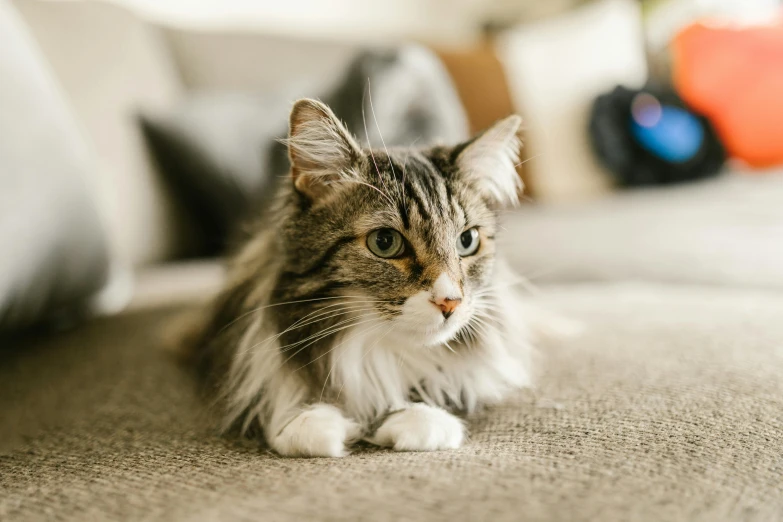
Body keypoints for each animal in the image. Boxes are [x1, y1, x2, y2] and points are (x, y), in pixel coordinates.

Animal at [191, 97, 532, 456]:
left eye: (467, 241)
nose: (450, 302)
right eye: (384, 242)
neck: (376, 349)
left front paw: (417, 418)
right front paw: (309, 421)